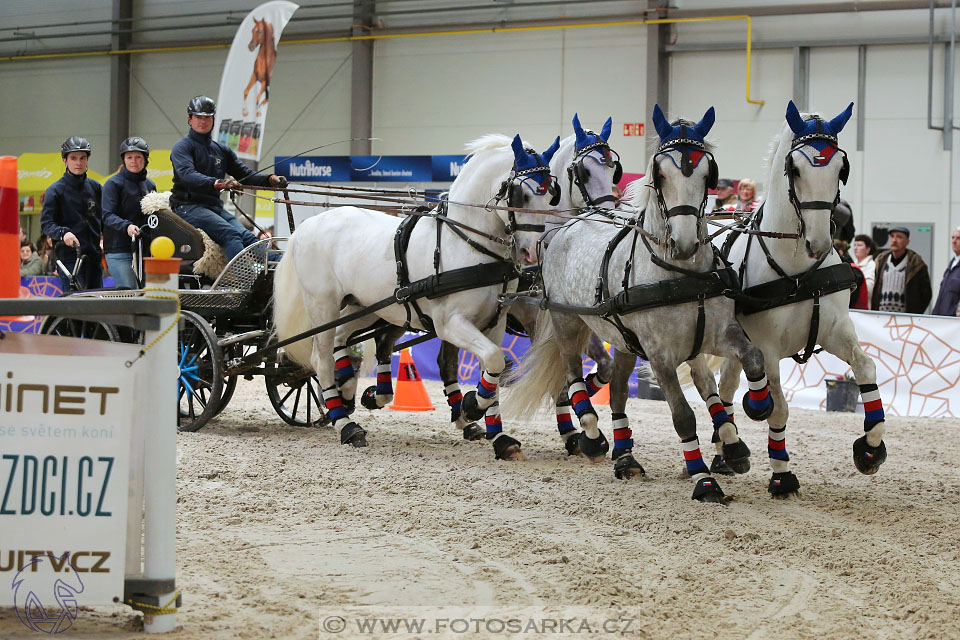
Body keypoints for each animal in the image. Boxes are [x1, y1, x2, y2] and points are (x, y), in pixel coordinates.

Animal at [274, 134, 564, 460]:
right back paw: (346, 424)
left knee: (340, 338)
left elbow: (493, 371)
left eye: (551, 195)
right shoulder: (449, 324)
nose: (533, 252)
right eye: (521, 194)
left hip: (365, 308)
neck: (466, 244)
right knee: (320, 359)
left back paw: (347, 392)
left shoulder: (495, 323)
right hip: (323, 305)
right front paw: (471, 406)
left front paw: (499, 437)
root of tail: (309, 225)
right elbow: (494, 359)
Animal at [510, 107, 772, 502]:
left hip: (625, 340)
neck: (680, 272)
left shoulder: (718, 334)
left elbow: (751, 359)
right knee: (573, 373)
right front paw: (703, 479)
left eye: (706, 174)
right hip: (567, 322)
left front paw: (751, 417)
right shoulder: (660, 355)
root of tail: (564, 228)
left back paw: (629, 457)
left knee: (624, 391)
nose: (684, 242)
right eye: (660, 174)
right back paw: (590, 435)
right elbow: (683, 415)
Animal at [712, 101, 884, 500]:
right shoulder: (768, 348)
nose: (818, 243)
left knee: (725, 386)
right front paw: (782, 477)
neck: (798, 270)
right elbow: (778, 409)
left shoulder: (836, 331)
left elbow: (866, 368)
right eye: (794, 168)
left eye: (841, 168)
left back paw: (727, 454)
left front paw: (870, 449)